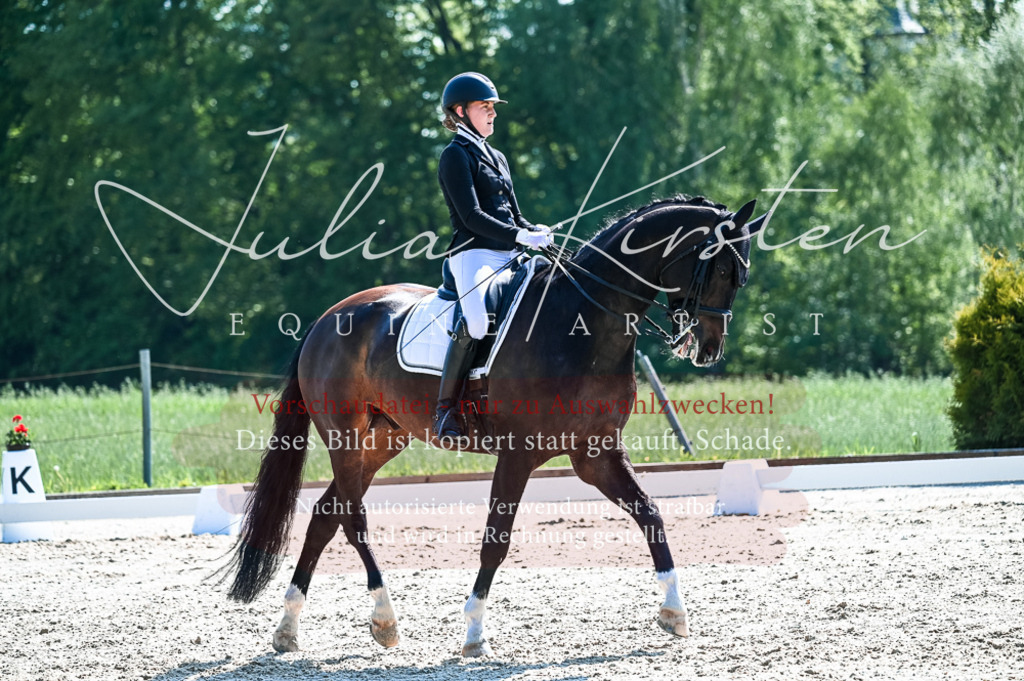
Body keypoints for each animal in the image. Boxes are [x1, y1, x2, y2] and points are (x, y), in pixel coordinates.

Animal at [221, 195, 766, 656]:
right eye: (720, 267)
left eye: (741, 274)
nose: (709, 349)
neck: (586, 323)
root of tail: (326, 319)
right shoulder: (519, 454)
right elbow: (496, 541)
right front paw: (474, 635)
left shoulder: (595, 452)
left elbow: (650, 513)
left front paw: (674, 613)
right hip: (345, 436)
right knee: (354, 521)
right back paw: (385, 620)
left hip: (383, 439)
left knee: (324, 516)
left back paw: (288, 630)